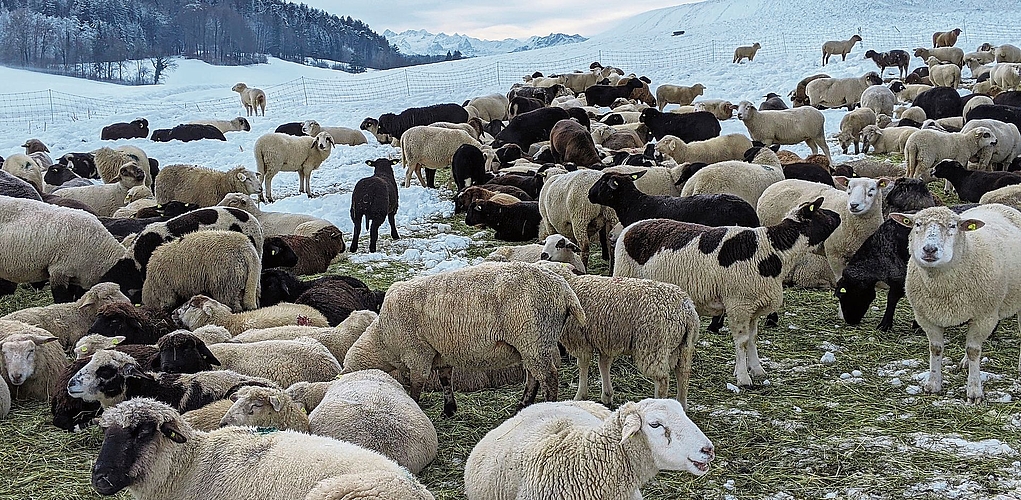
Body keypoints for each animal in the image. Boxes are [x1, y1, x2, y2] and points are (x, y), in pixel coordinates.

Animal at [342, 261, 586, 416]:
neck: (383, 339)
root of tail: (564, 289)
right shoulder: (442, 353)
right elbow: (445, 381)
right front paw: (449, 409)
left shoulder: (417, 353)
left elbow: (417, 385)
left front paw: (416, 404)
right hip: (531, 344)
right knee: (534, 377)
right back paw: (522, 407)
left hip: (534, 338)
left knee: (549, 377)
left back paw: (546, 406)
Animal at [889, 204, 1021, 402]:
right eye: (917, 224)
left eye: (952, 226)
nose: (929, 249)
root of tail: (999, 205)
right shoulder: (926, 317)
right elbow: (936, 349)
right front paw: (933, 385)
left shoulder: (984, 317)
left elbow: (973, 350)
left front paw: (974, 391)